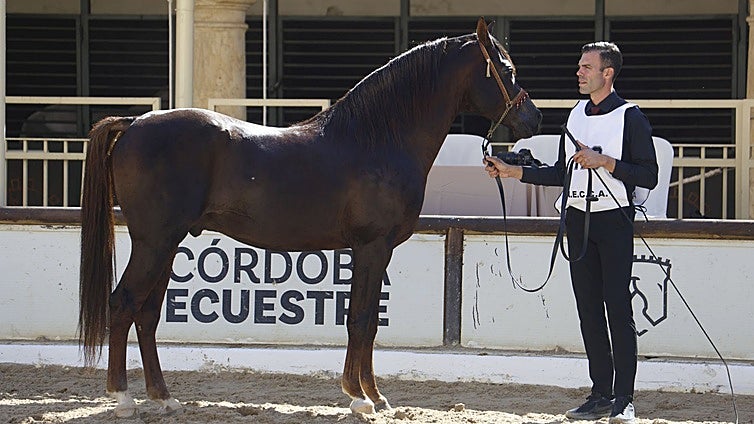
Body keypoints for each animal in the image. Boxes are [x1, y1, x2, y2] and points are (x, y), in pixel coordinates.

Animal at [78, 17, 541, 417]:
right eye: (506, 69)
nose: (534, 118)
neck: (377, 140)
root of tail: (135, 121)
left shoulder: (378, 251)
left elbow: (369, 322)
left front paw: (375, 395)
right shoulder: (371, 247)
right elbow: (359, 319)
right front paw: (360, 398)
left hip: (167, 244)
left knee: (146, 314)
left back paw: (164, 398)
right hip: (154, 243)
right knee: (123, 304)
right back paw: (123, 399)